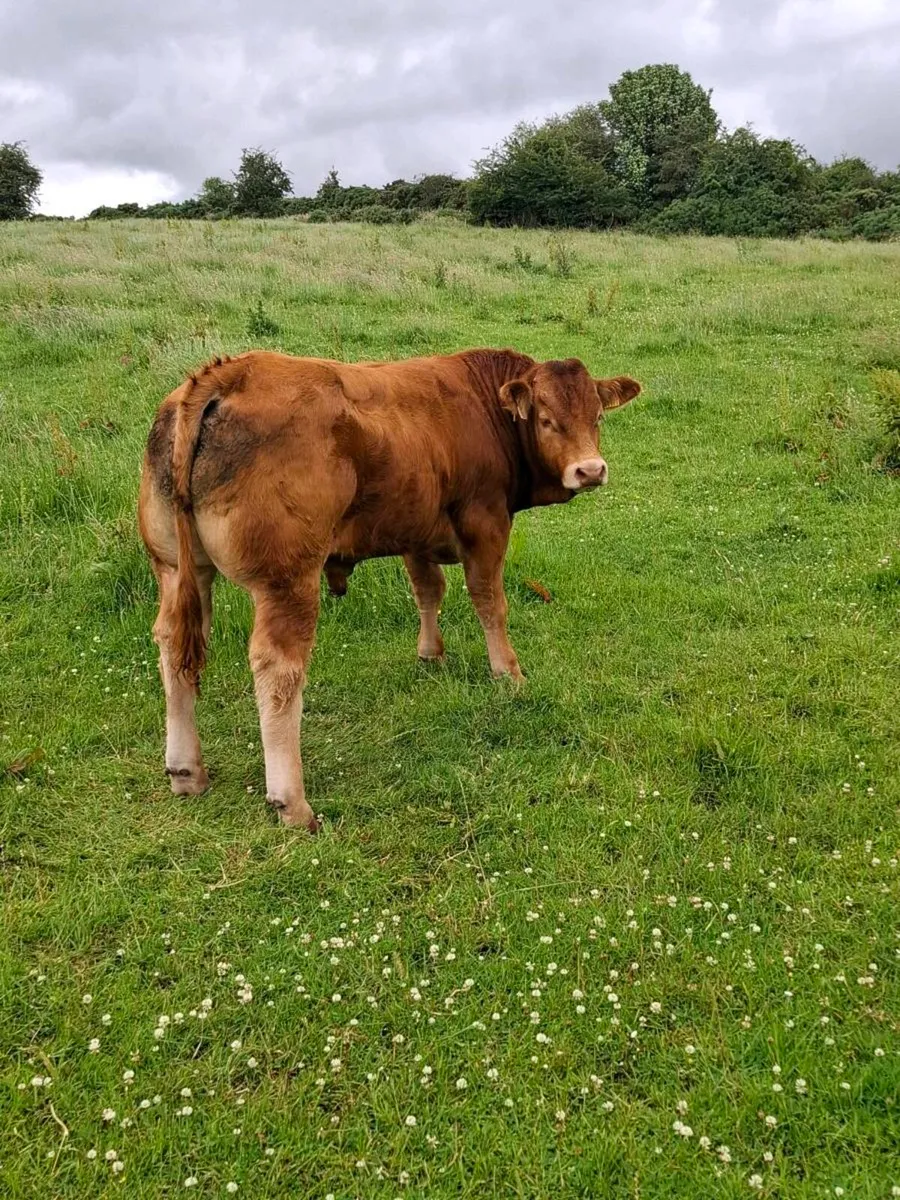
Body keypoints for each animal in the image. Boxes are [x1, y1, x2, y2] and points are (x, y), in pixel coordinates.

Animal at [139, 348, 640, 831]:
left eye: (597, 415)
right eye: (546, 419)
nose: (590, 470)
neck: (483, 405)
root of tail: (226, 373)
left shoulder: (415, 531)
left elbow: (428, 591)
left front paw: (431, 654)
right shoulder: (486, 522)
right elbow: (489, 602)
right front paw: (508, 673)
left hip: (178, 569)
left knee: (173, 645)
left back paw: (186, 770)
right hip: (287, 581)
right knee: (278, 670)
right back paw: (292, 802)